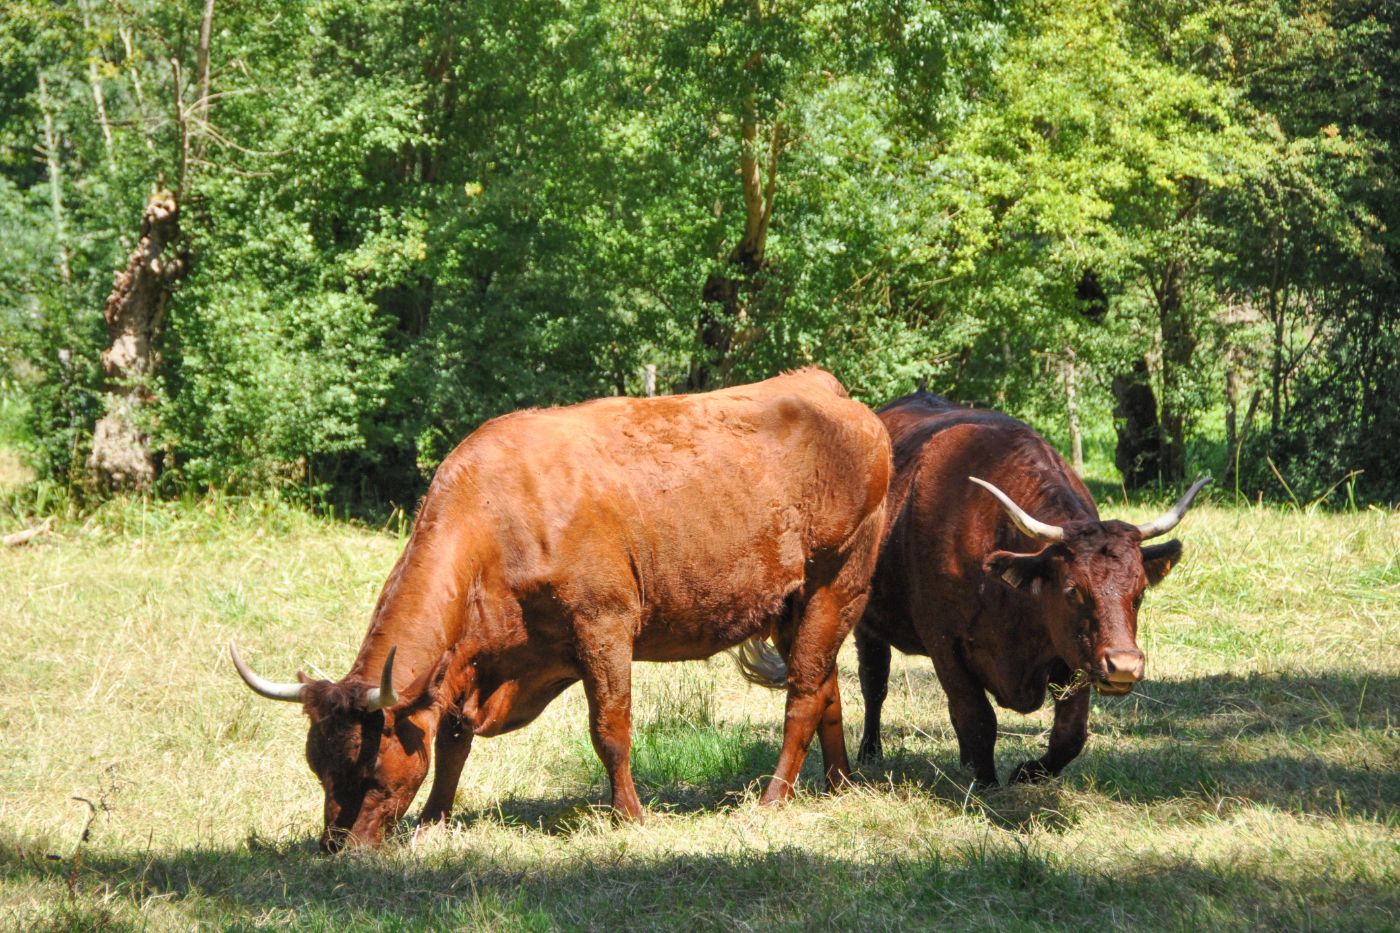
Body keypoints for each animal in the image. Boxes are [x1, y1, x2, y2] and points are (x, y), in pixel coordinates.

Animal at [230, 368, 890, 850]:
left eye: (367, 769)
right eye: (318, 768)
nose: (335, 847)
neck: (493, 517)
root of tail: (822, 386)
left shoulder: (604, 623)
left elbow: (610, 729)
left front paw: (630, 815)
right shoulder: (474, 662)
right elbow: (453, 740)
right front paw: (435, 819)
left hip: (839, 582)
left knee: (804, 692)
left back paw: (774, 797)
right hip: (790, 605)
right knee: (826, 686)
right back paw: (837, 784)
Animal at [852, 390, 1208, 786]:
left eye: (1141, 591)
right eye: (1072, 590)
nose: (1124, 665)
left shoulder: (1074, 654)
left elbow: (1070, 733)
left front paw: (1026, 772)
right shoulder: (945, 644)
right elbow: (977, 718)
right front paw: (986, 782)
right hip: (866, 623)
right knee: (875, 682)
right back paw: (869, 752)